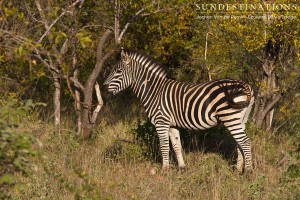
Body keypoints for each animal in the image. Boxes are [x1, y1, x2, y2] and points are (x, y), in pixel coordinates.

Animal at [104, 48, 254, 173]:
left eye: (118, 71)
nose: (104, 88)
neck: (154, 92)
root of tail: (245, 85)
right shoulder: (172, 125)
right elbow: (177, 146)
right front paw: (182, 169)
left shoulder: (161, 122)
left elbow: (164, 146)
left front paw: (165, 171)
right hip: (241, 119)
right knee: (240, 143)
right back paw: (238, 170)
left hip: (230, 117)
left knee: (245, 142)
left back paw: (248, 172)